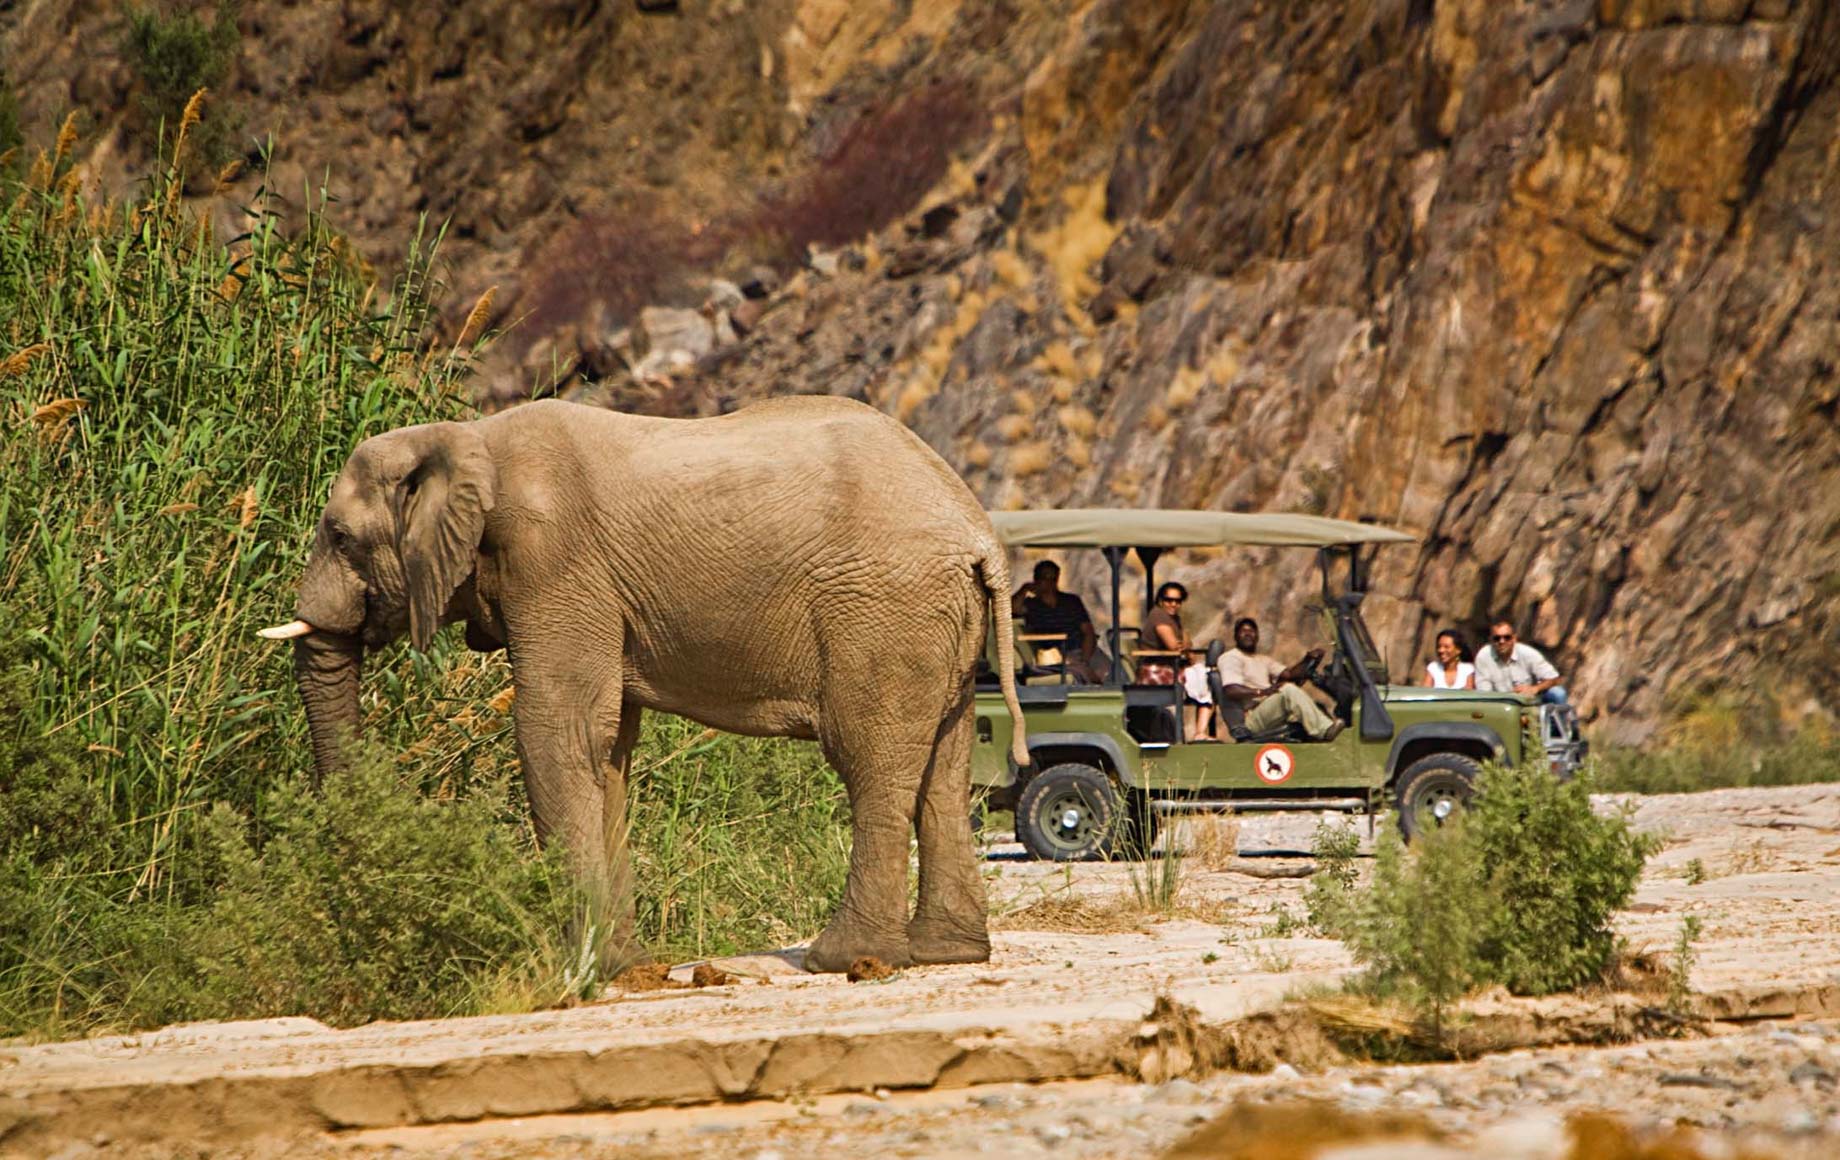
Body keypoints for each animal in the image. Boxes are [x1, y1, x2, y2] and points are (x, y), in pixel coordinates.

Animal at [264, 395, 1030, 979]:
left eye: (340, 537)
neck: (467, 437)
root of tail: (978, 534)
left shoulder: (554, 562)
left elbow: (558, 730)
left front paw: (581, 969)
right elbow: (606, 748)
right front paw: (627, 967)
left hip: (882, 613)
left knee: (868, 759)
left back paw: (846, 960)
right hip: (937, 625)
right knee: (943, 766)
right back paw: (944, 954)